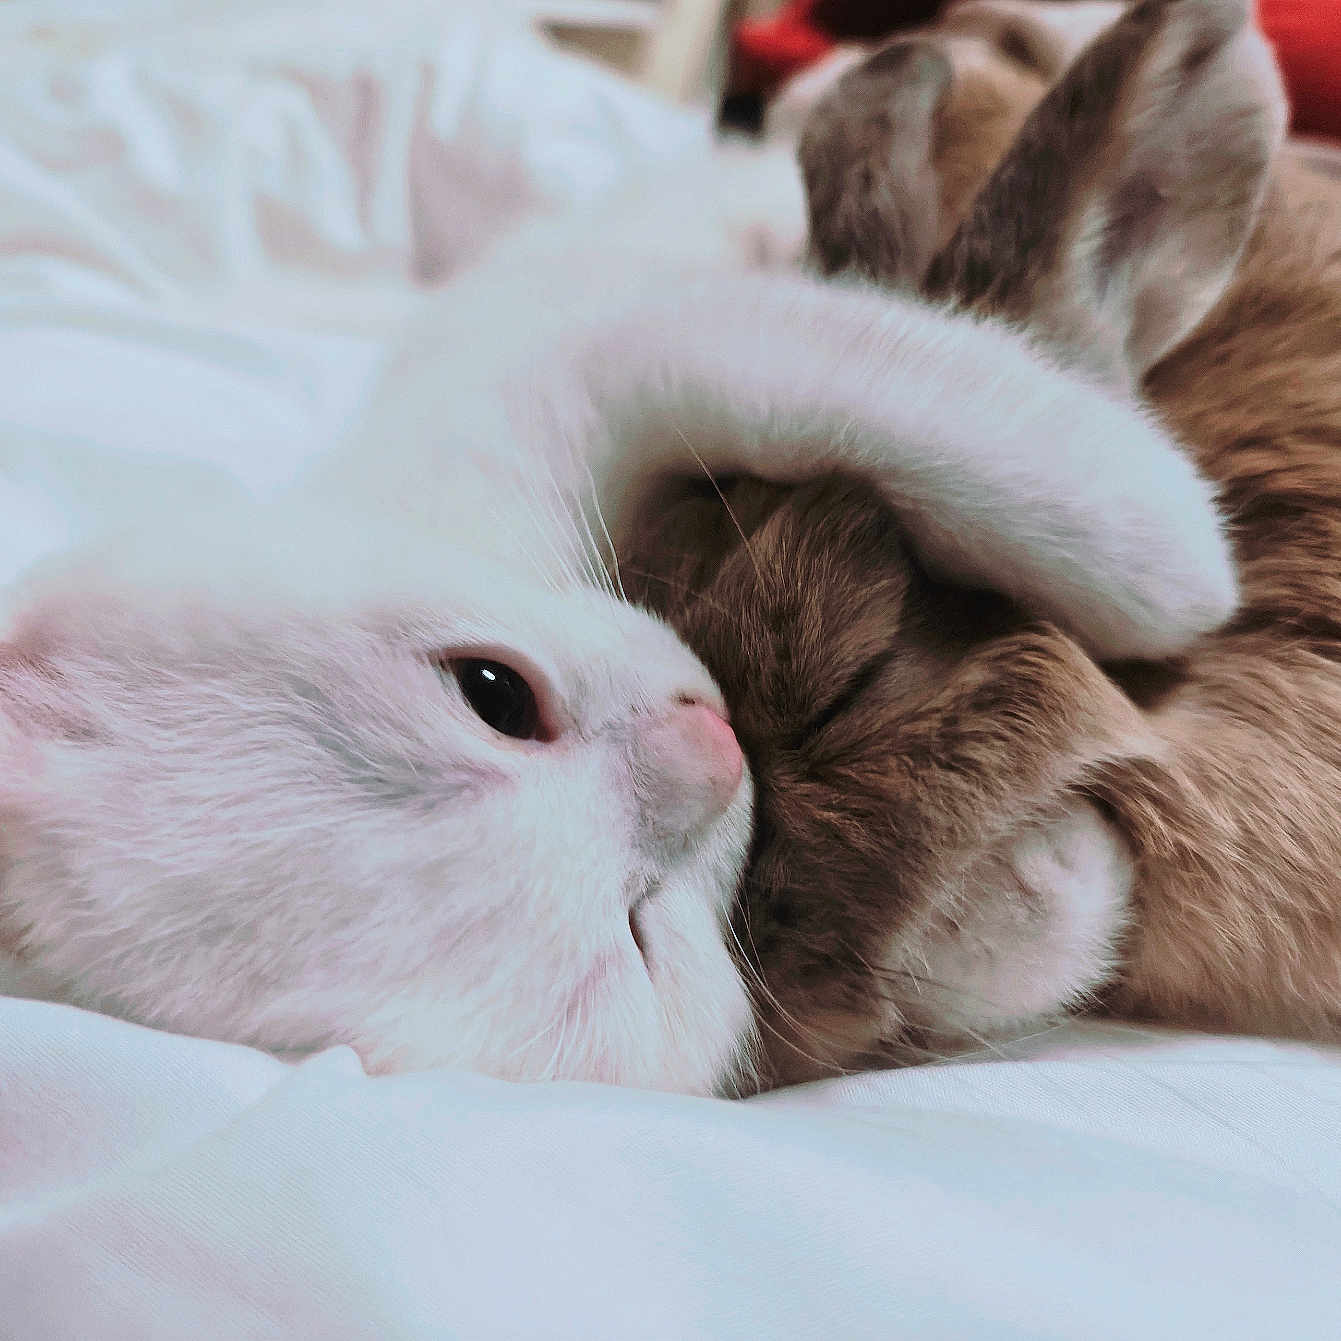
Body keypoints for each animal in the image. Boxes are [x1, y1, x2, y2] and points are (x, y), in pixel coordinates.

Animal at [0, 22, 1236, 1093]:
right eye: (638, 940)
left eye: (493, 693)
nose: (715, 747)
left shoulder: (594, 361)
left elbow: (864, 380)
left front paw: (1167, 557)